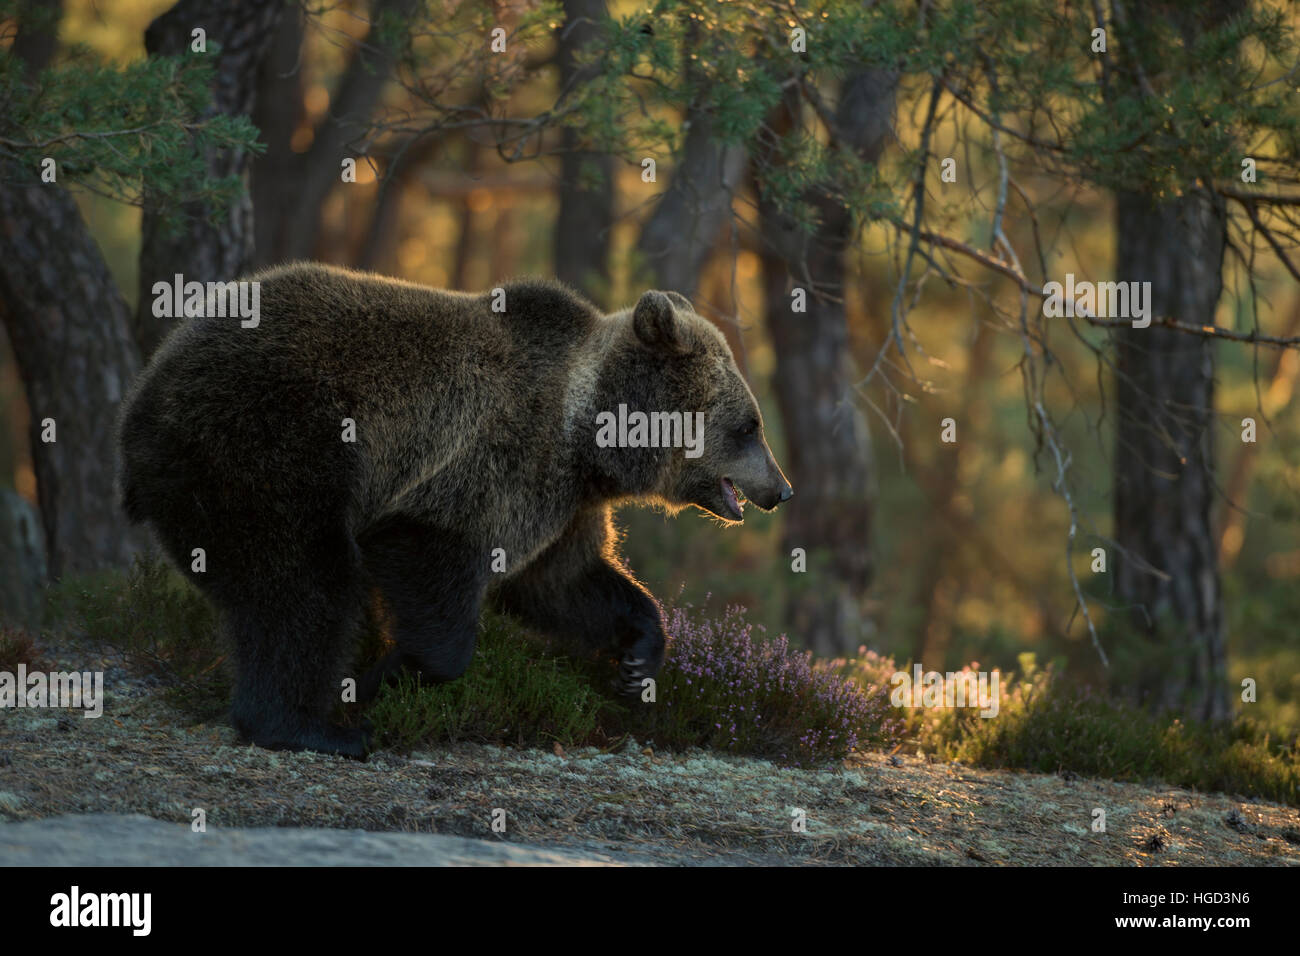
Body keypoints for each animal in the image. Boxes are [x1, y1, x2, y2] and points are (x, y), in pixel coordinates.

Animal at [119, 261, 790, 754]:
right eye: (751, 426)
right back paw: (314, 727)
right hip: (271, 440)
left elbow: (562, 581)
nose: (780, 488)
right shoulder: (497, 458)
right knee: (301, 581)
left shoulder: (566, 504)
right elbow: (432, 553)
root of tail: (145, 392)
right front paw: (386, 675)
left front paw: (639, 655)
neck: (590, 437)